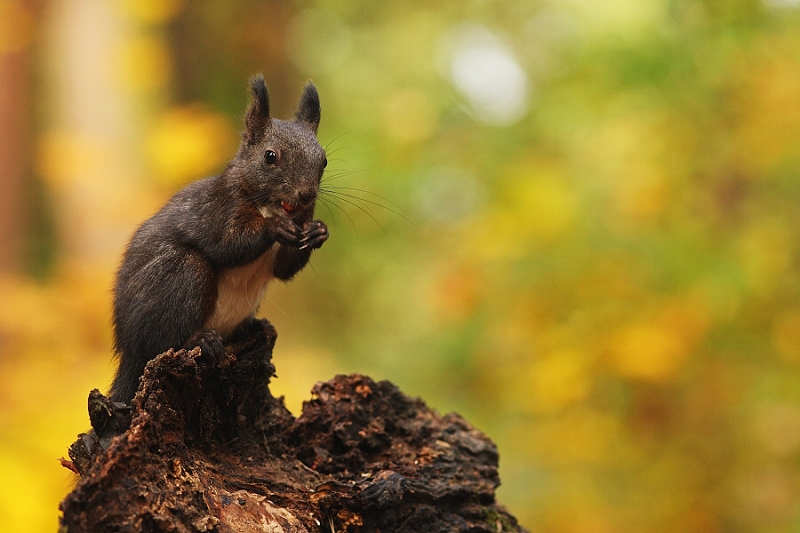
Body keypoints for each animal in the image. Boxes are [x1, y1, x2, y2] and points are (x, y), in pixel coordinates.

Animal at [109, 74, 329, 403]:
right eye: (270, 156)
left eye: (324, 161)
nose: (306, 194)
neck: (268, 205)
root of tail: (127, 354)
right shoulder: (217, 210)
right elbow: (228, 244)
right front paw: (273, 227)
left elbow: (284, 268)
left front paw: (319, 232)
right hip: (179, 274)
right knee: (159, 342)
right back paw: (197, 340)